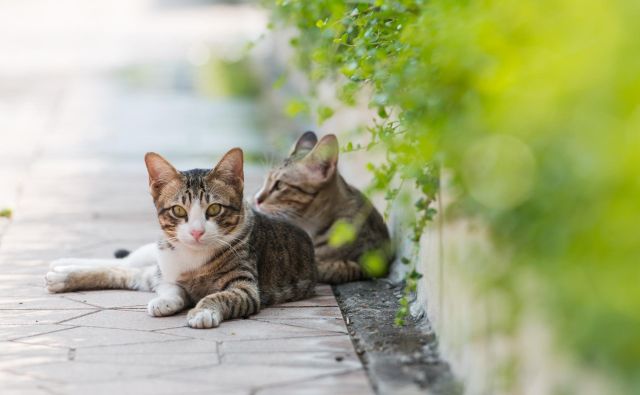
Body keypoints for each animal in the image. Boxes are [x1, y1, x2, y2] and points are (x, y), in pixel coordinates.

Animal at [43, 148, 316, 328]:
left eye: (214, 209)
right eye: (178, 211)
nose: (196, 231)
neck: (193, 257)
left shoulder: (246, 287)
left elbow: (220, 295)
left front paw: (202, 311)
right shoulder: (166, 273)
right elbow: (172, 288)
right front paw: (166, 300)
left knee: (126, 271)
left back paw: (61, 274)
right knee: (125, 264)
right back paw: (62, 267)